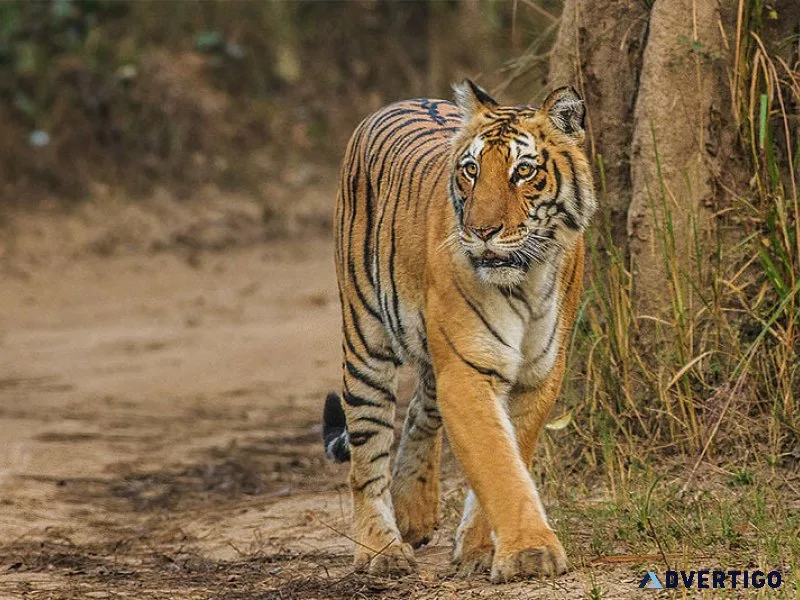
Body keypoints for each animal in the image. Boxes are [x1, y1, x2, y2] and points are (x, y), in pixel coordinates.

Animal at [322, 80, 595, 582]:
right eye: (471, 170)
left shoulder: (539, 374)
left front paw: (480, 549)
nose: (482, 231)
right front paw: (530, 552)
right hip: (365, 340)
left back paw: (414, 512)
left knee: (419, 411)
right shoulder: (468, 371)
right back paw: (381, 549)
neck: (526, 280)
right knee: (367, 456)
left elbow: (511, 454)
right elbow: (497, 463)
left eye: (523, 171)